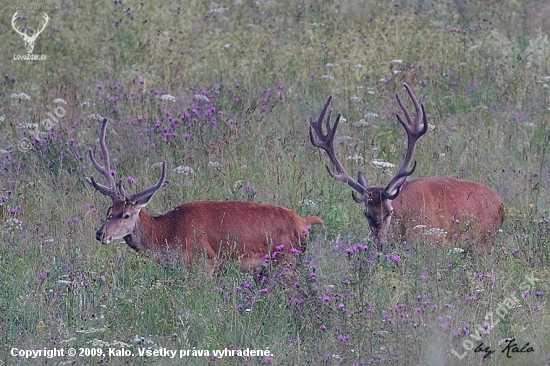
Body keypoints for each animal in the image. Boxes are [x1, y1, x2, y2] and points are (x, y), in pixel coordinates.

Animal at [88, 118, 326, 274]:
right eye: (109, 211)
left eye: (126, 214)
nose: (100, 234)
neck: (167, 233)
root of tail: (304, 221)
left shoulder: (204, 260)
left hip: (286, 259)